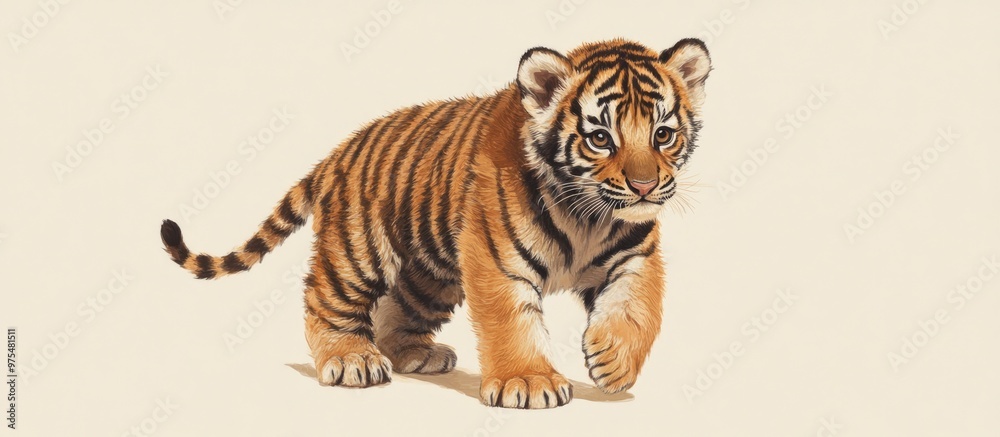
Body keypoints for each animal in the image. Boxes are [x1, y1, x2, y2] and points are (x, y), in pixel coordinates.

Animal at [159, 38, 711, 409]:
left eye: (662, 134)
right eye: (600, 138)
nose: (644, 186)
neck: (588, 216)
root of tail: (337, 152)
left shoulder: (634, 255)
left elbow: (639, 307)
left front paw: (613, 362)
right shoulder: (497, 260)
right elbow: (512, 320)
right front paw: (528, 382)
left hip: (431, 275)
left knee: (396, 311)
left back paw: (416, 355)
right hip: (357, 253)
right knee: (325, 299)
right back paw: (352, 359)